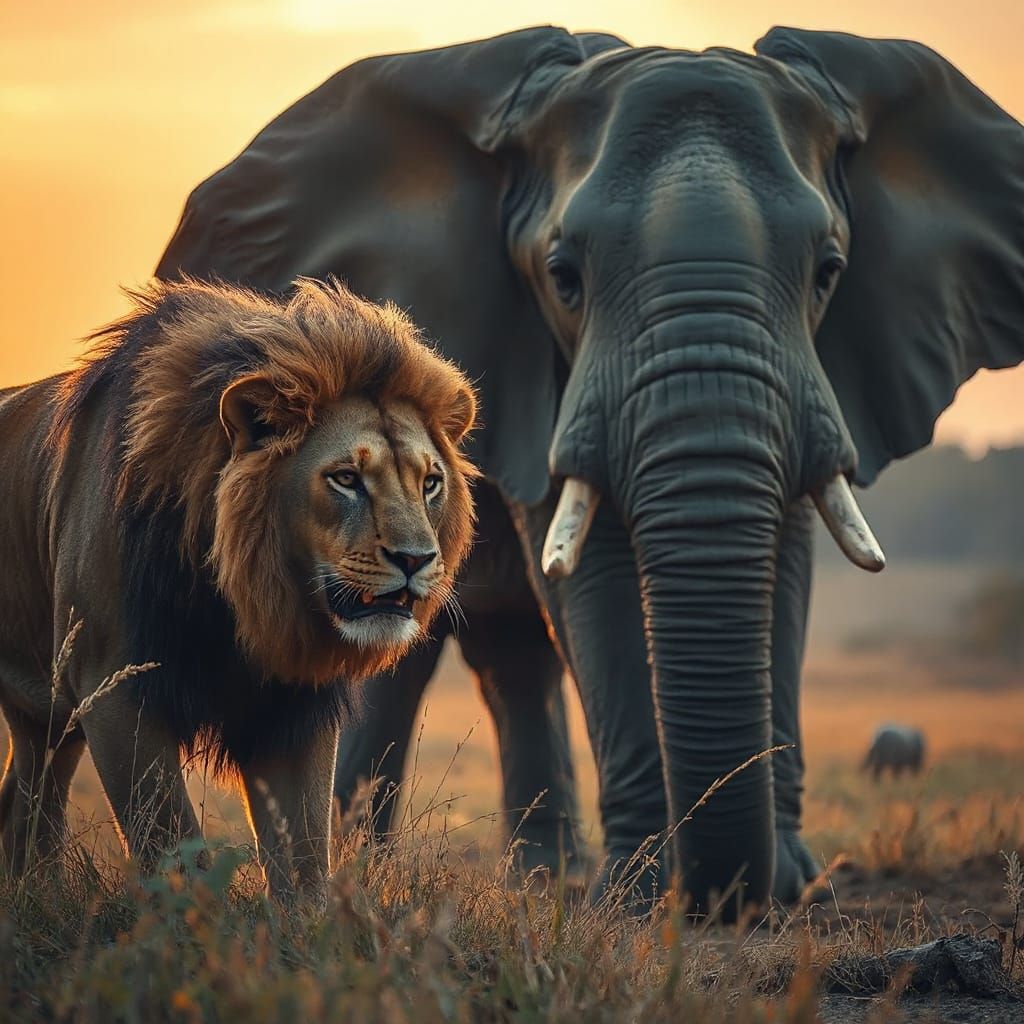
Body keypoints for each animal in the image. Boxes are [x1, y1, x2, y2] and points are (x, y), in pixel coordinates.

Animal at [0, 277, 477, 904]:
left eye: (430, 483)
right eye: (346, 479)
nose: (416, 560)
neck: (241, 599)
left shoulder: (295, 706)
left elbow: (305, 856)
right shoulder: (114, 687)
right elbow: (173, 842)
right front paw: (199, 922)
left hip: (45, 715)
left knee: (29, 798)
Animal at [154, 26, 1024, 914]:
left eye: (829, 272)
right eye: (563, 277)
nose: (736, 892)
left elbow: (785, 556)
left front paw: (787, 889)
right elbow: (596, 573)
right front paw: (641, 895)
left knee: (509, 655)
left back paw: (541, 876)